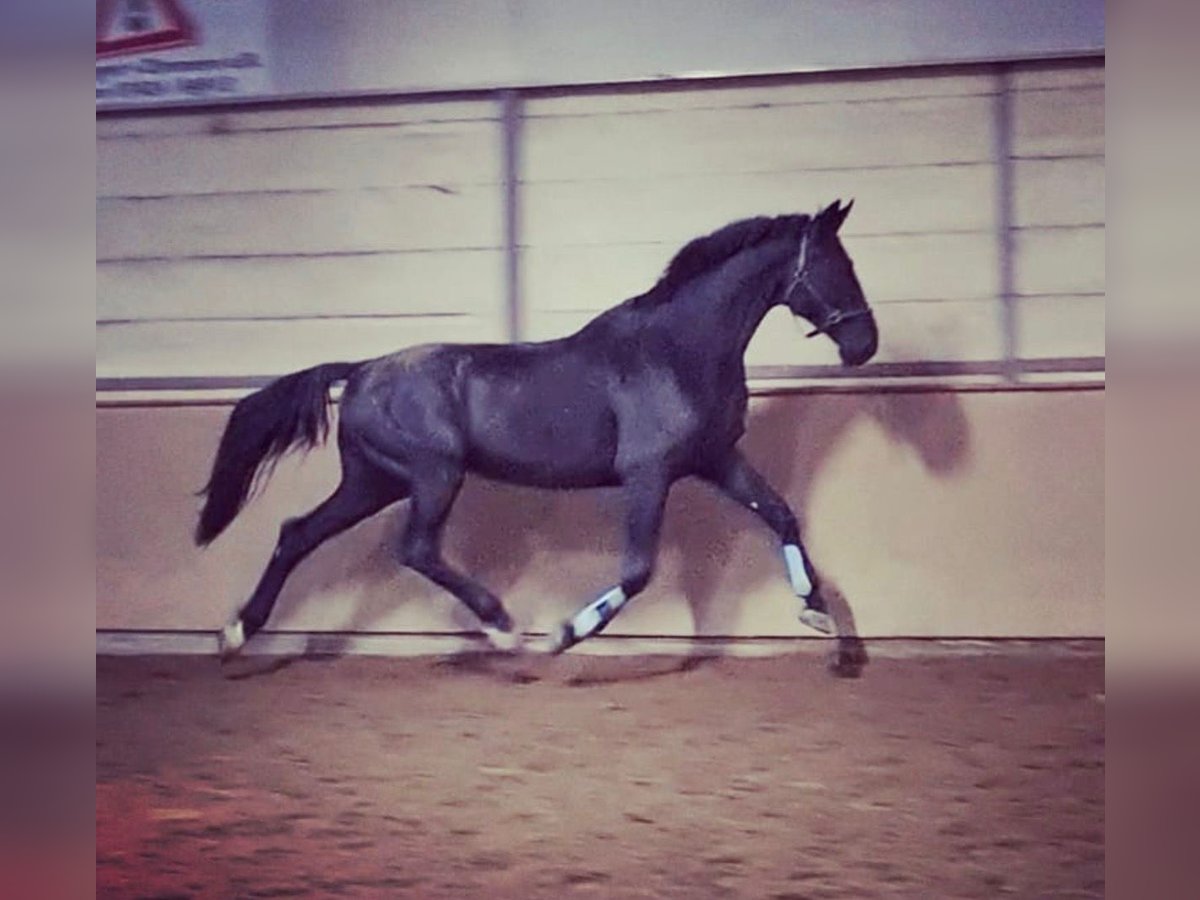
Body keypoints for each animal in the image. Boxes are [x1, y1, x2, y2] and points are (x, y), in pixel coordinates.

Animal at [196, 200, 878, 659]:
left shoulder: (714, 458)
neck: (678, 349)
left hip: (374, 481)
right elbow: (638, 568)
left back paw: (237, 631)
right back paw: (502, 626)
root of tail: (361, 370)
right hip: (432, 474)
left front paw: (819, 616)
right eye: (833, 264)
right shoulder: (648, 473)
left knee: (298, 534)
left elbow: (781, 513)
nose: (864, 345)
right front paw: (563, 634)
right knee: (415, 548)